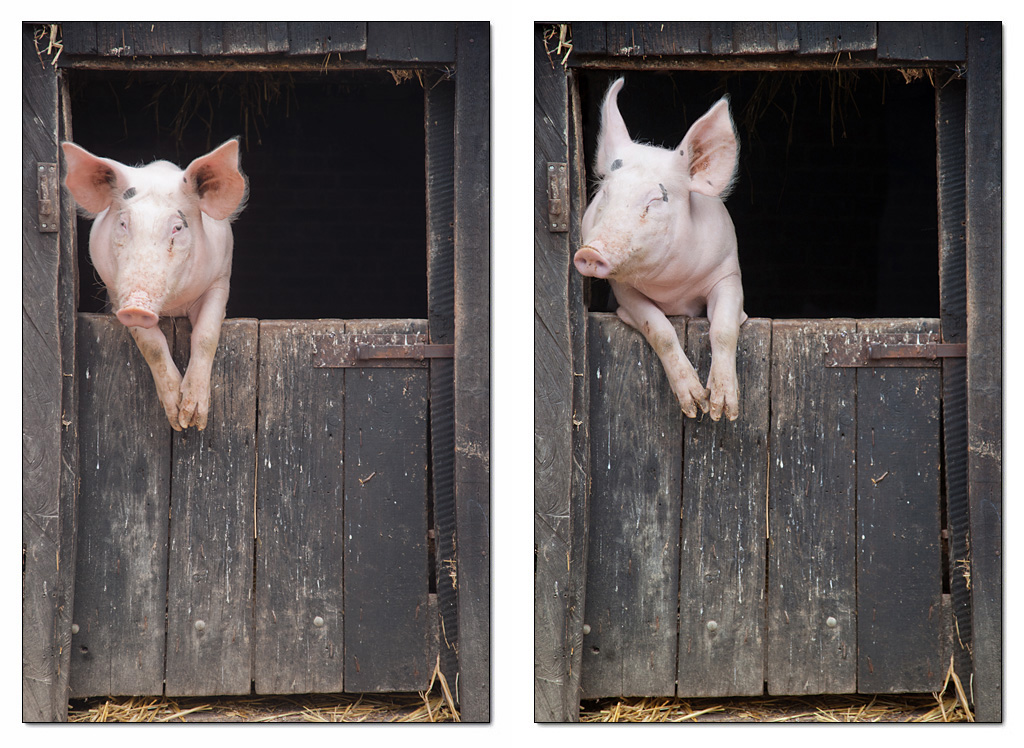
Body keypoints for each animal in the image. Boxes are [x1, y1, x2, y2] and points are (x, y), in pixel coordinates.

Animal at [61, 139, 248, 431]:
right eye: (123, 223)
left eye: (178, 228)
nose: (137, 307)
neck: (173, 307)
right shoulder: (116, 294)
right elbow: (151, 344)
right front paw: (176, 418)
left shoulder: (220, 280)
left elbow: (206, 334)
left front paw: (192, 420)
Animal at [575, 78, 746, 421]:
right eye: (605, 195)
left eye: (655, 200)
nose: (590, 252)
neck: (674, 288)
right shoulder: (623, 290)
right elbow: (660, 330)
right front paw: (695, 406)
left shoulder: (728, 273)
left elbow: (723, 328)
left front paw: (720, 411)